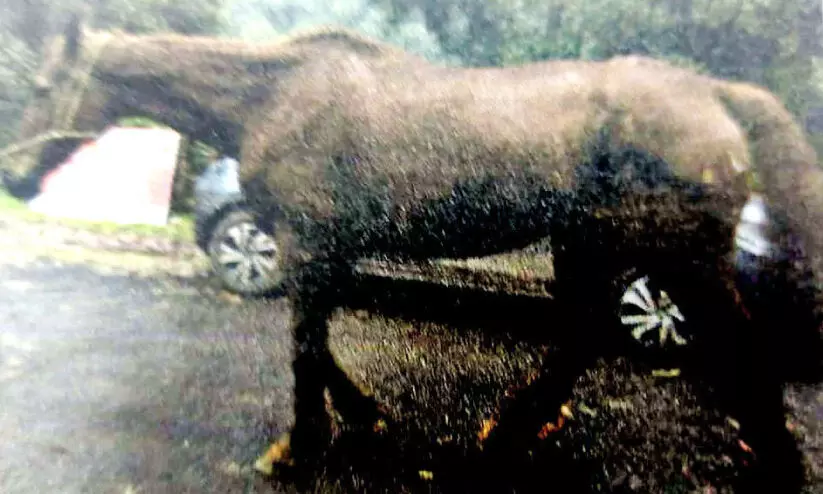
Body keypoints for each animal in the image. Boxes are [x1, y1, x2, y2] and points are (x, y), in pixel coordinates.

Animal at [12, 16, 823, 491]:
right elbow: (320, 347)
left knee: (733, 341)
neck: (276, 95)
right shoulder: (326, 252)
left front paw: (298, 448)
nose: (13, 175)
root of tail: (716, 93)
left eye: (46, 85)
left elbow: (304, 350)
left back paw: (776, 461)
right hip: (588, 247)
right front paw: (363, 415)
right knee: (576, 339)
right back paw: (510, 432)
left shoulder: (307, 246)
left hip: (681, 260)